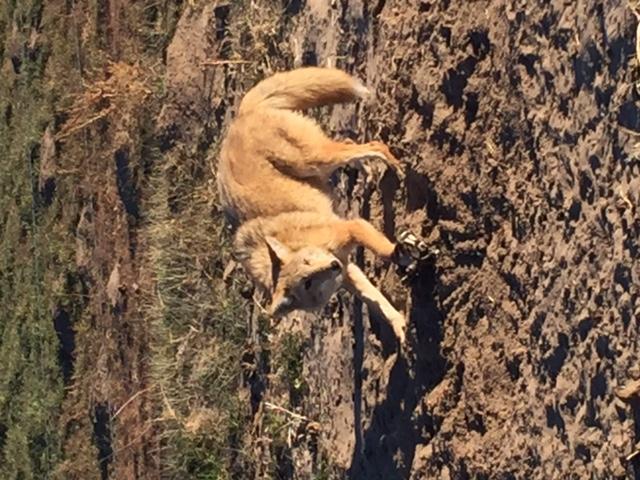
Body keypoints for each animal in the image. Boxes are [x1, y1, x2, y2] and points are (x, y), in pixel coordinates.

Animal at [217, 67, 428, 342]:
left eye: (308, 263)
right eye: (306, 282)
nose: (332, 265)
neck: (302, 242)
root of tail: (242, 114)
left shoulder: (353, 228)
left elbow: (383, 251)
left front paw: (400, 251)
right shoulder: (347, 271)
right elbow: (376, 301)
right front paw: (400, 325)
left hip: (313, 160)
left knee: (374, 145)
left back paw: (393, 166)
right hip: (321, 165)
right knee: (352, 146)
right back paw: (368, 172)